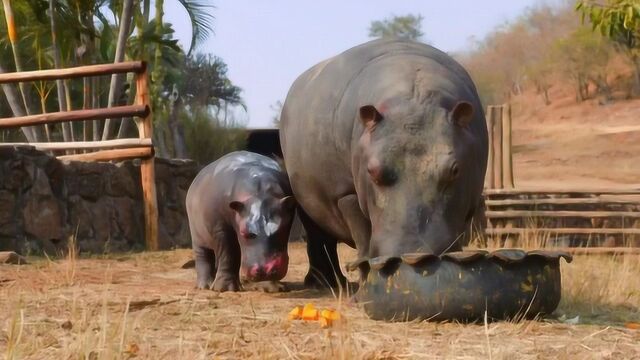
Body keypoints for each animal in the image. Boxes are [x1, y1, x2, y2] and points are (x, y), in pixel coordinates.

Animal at [184, 150, 296, 292]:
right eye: (245, 233)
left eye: (281, 231)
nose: (266, 270)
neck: (259, 194)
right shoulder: (220, 229)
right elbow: (227, 253)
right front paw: (224, 289)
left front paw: (274, 288)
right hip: (197, 236)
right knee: (203, 257)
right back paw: (205, 286)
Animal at [280, 38, 484, 286]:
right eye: (372, 170)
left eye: (454, 170)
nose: (413, 251)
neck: (412, 98)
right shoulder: (346, 193)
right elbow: (363, 241)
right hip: (308, 201)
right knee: (319, 238)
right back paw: (324, 283)